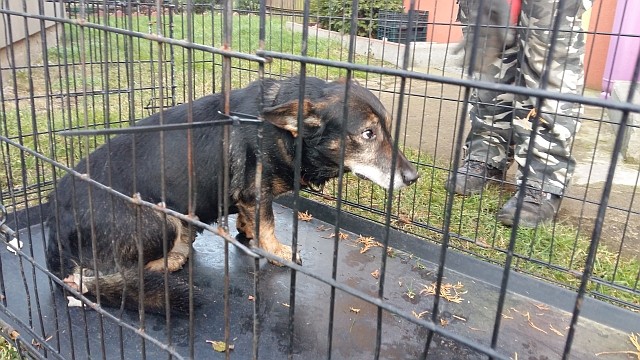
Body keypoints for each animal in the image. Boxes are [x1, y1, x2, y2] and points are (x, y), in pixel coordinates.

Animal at [48, 76, 420, 316]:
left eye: (387, 129)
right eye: (368, 134)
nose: (413, 177)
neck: (284, 133)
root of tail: (54, 237)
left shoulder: (249, 197)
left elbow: (251, 219)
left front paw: (248, 232)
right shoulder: (257, 193)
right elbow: (269, 225)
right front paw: (278, 252)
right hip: (159, 218)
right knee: (126, 272)